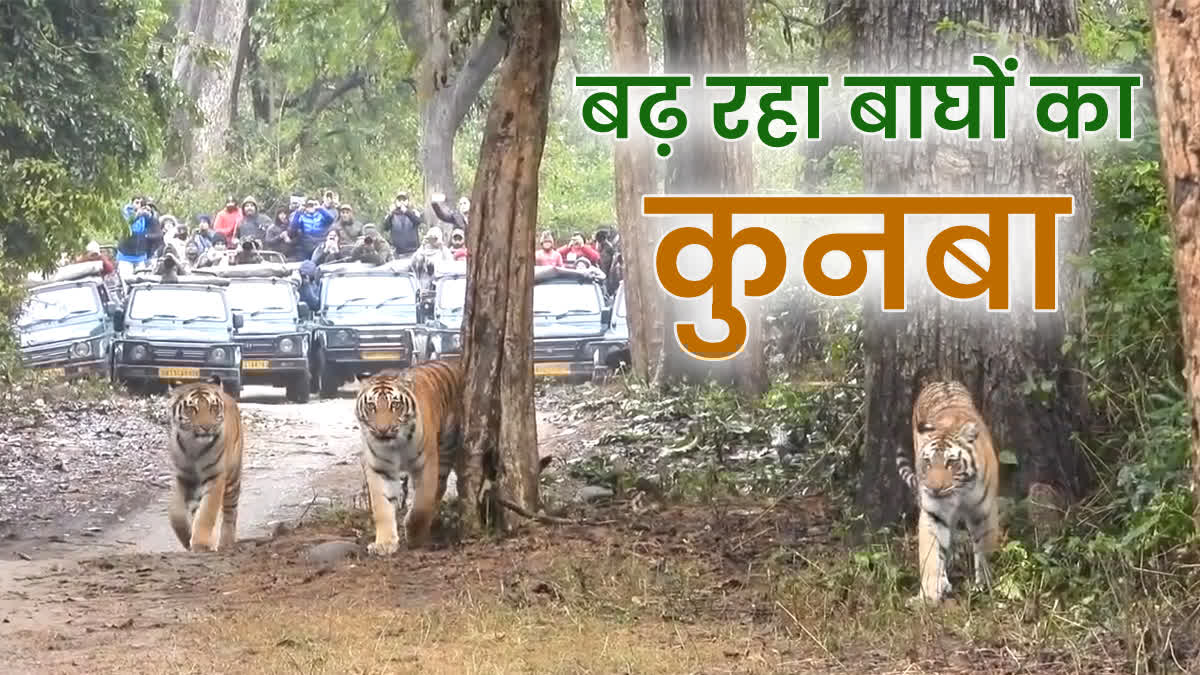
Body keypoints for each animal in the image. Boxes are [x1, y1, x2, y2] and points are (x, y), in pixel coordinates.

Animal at [166, 375, 245, 552]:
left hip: (232, 478)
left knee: (231, 512)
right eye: (191, 409)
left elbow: (207, 512)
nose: (207, 427)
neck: (194, 447)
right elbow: (176, 512)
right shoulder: (182, 477)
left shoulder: (215, 477)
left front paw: (200, 543)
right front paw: (186, 537)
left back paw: (225, 542)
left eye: (213, 408)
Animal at [355, 358, 464, 555]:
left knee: (440, 486)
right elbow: (381, 506)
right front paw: (384, 543)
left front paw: (413, 535)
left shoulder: (426, 464)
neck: (396, 445)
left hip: (446, 448)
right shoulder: (379, 468)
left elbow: (422, 503)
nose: (383, 430)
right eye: (371, 406)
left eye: (395, 405)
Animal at [895, 380, 1000, 607]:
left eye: (951, 463)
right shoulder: (933, 513)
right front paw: (929, 594)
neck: (959, 493)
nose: (935, 489)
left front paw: (984, 584)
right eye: (927, 462)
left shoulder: (984, 512)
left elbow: (984, 549)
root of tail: (941, 380)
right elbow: (932, 554)